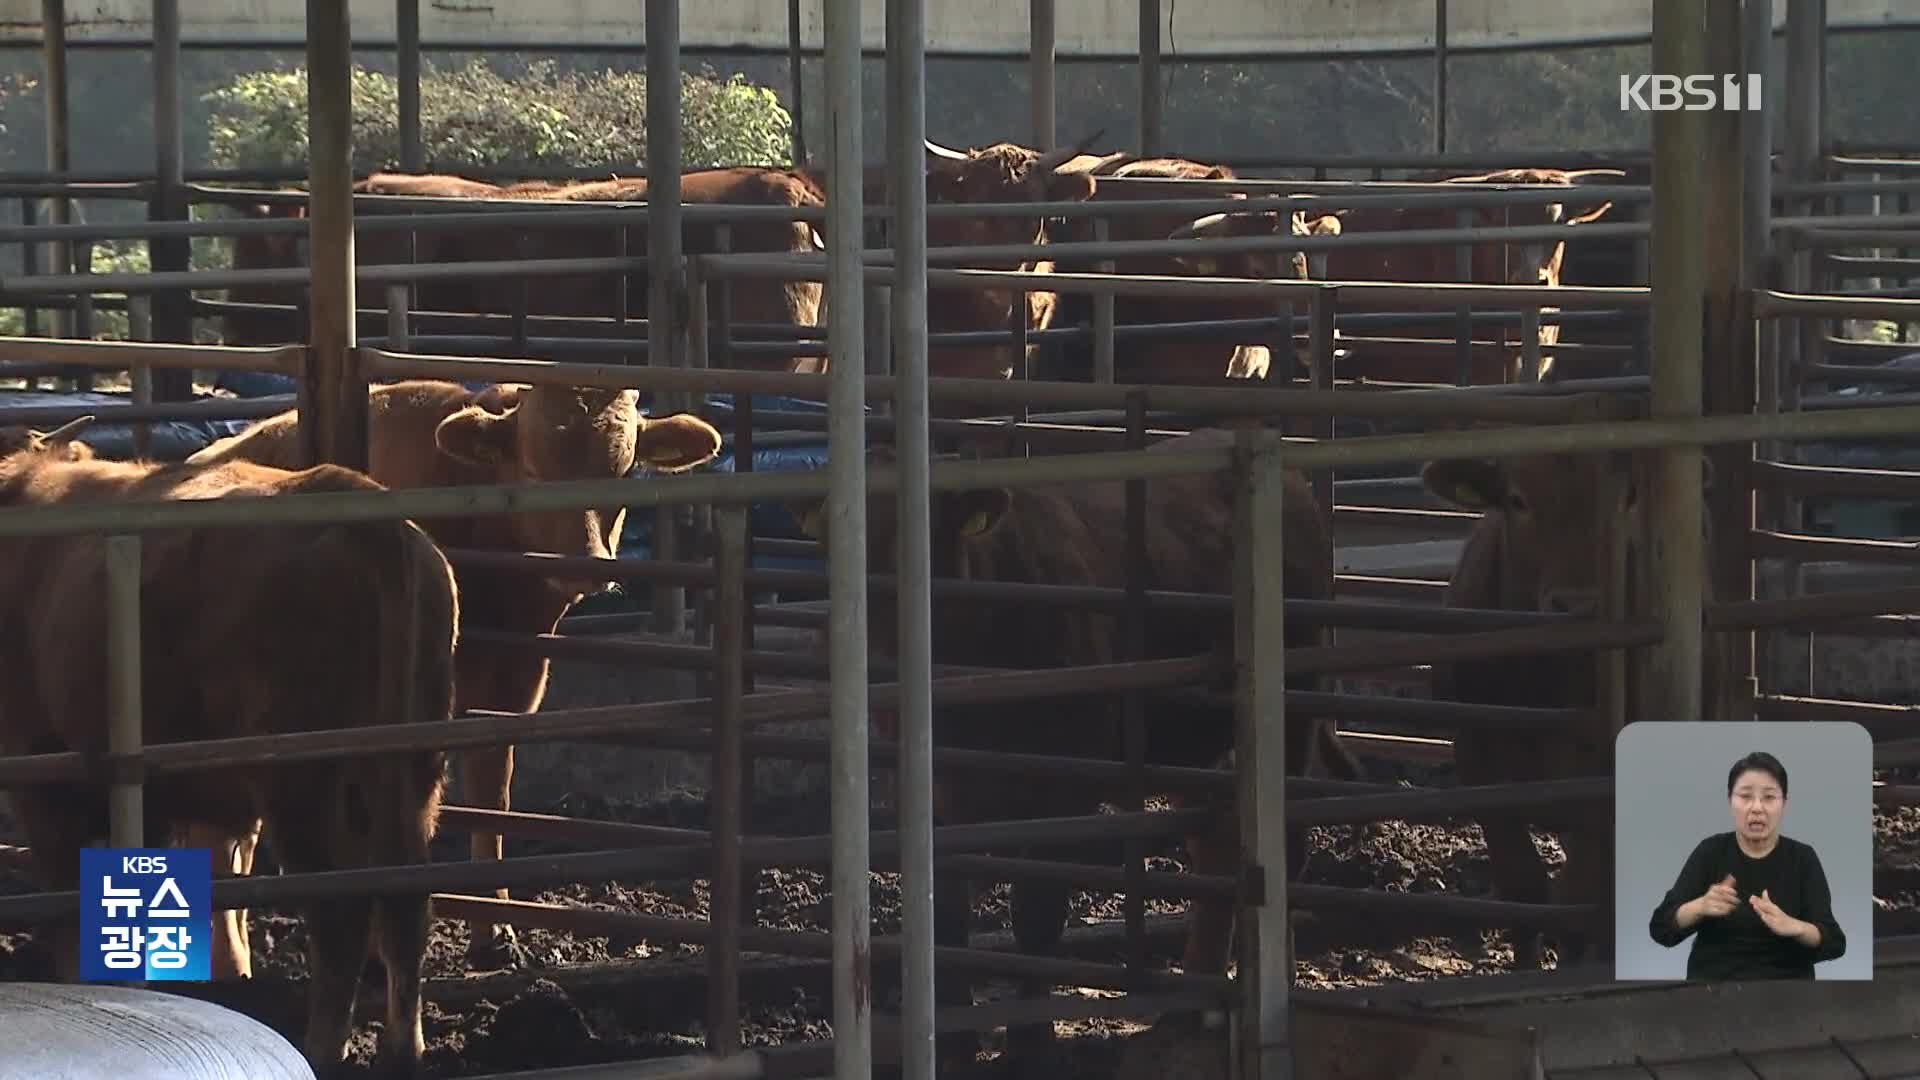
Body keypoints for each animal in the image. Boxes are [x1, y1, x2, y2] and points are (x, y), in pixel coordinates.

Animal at [0, 411, 460, 1068]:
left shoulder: (40, 778)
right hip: (414, 772)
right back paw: (404, 1049)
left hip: (300, 783)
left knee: (341, 914)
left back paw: (321, 1048)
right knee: (404, 904)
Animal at [187, 378, 725, 968]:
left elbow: (493, 805)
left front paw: (495, 933)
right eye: (533, 469)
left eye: (623, 471)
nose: (588, 564)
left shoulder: (511, 694)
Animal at [787, 426, 1359, 1053]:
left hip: (1295, 712)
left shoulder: (1066, 787)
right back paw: (1189, 1003)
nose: (867, 658)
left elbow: (1036, 910)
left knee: (1285, 847)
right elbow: (947, 909)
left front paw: (1029, 1039)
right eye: (829, 544)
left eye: (918, 544)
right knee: (1218, 847)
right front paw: (955, 1033)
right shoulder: (936, 790)